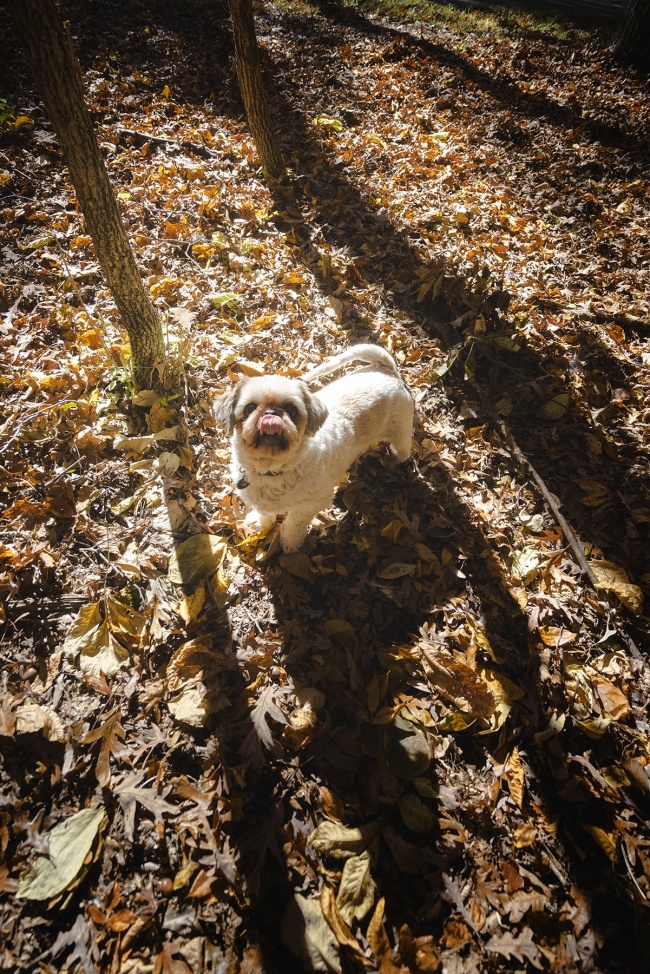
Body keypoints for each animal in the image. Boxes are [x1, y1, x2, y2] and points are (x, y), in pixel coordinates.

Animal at [215, 346, 412, 552]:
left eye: (291, 409)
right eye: (249, 408)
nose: (270, 413)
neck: (271, 470)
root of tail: (385, 369)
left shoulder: (313, 502)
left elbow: (294, 522)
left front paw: (290, 541)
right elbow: (264, 513)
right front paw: (260, 524)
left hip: (401, 435)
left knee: (403, 452)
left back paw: (392, 462)